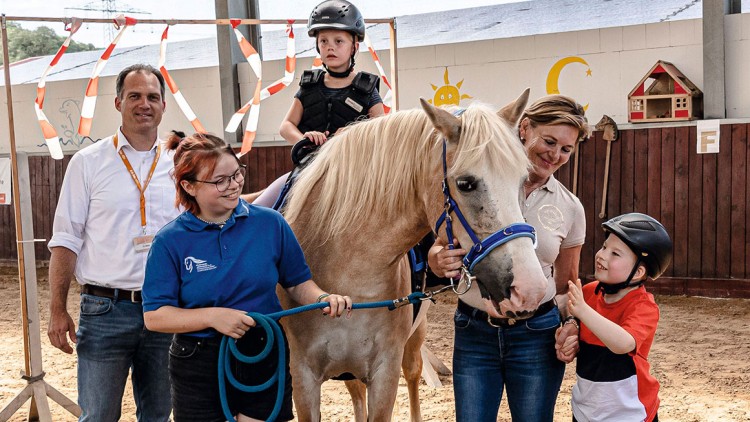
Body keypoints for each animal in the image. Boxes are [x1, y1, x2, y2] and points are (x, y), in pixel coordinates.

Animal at [280, 90, 548, 421]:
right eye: (465, 184)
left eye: (523, 179)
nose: (530, 289)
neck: (346, 277)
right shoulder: (303, 378)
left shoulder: (385, 374)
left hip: (414, 340)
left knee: (413, 375)